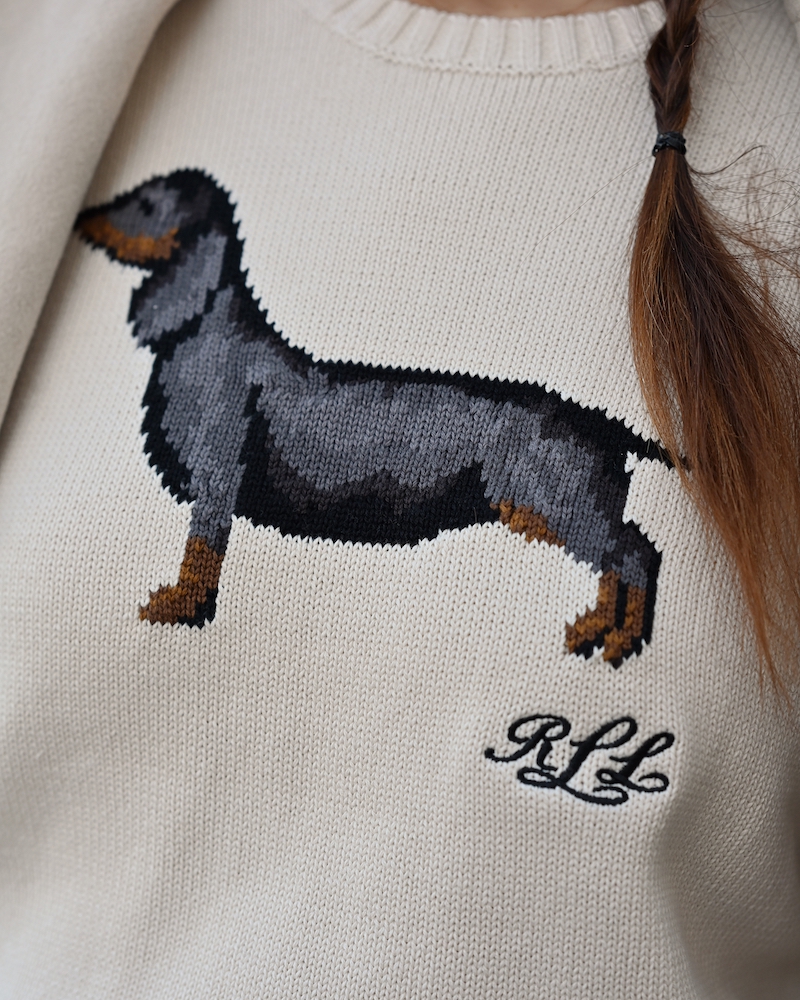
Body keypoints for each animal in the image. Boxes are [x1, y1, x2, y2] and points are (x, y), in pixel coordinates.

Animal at [76, 169, 666, 665]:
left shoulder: (216, 480)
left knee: (635, 554)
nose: (83, 217)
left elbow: (200, 553)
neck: (202, 335)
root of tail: (599, 422)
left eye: (147, 203)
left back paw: (618, 640)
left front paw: (177, 605)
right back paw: (595, 628)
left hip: (556, 505)